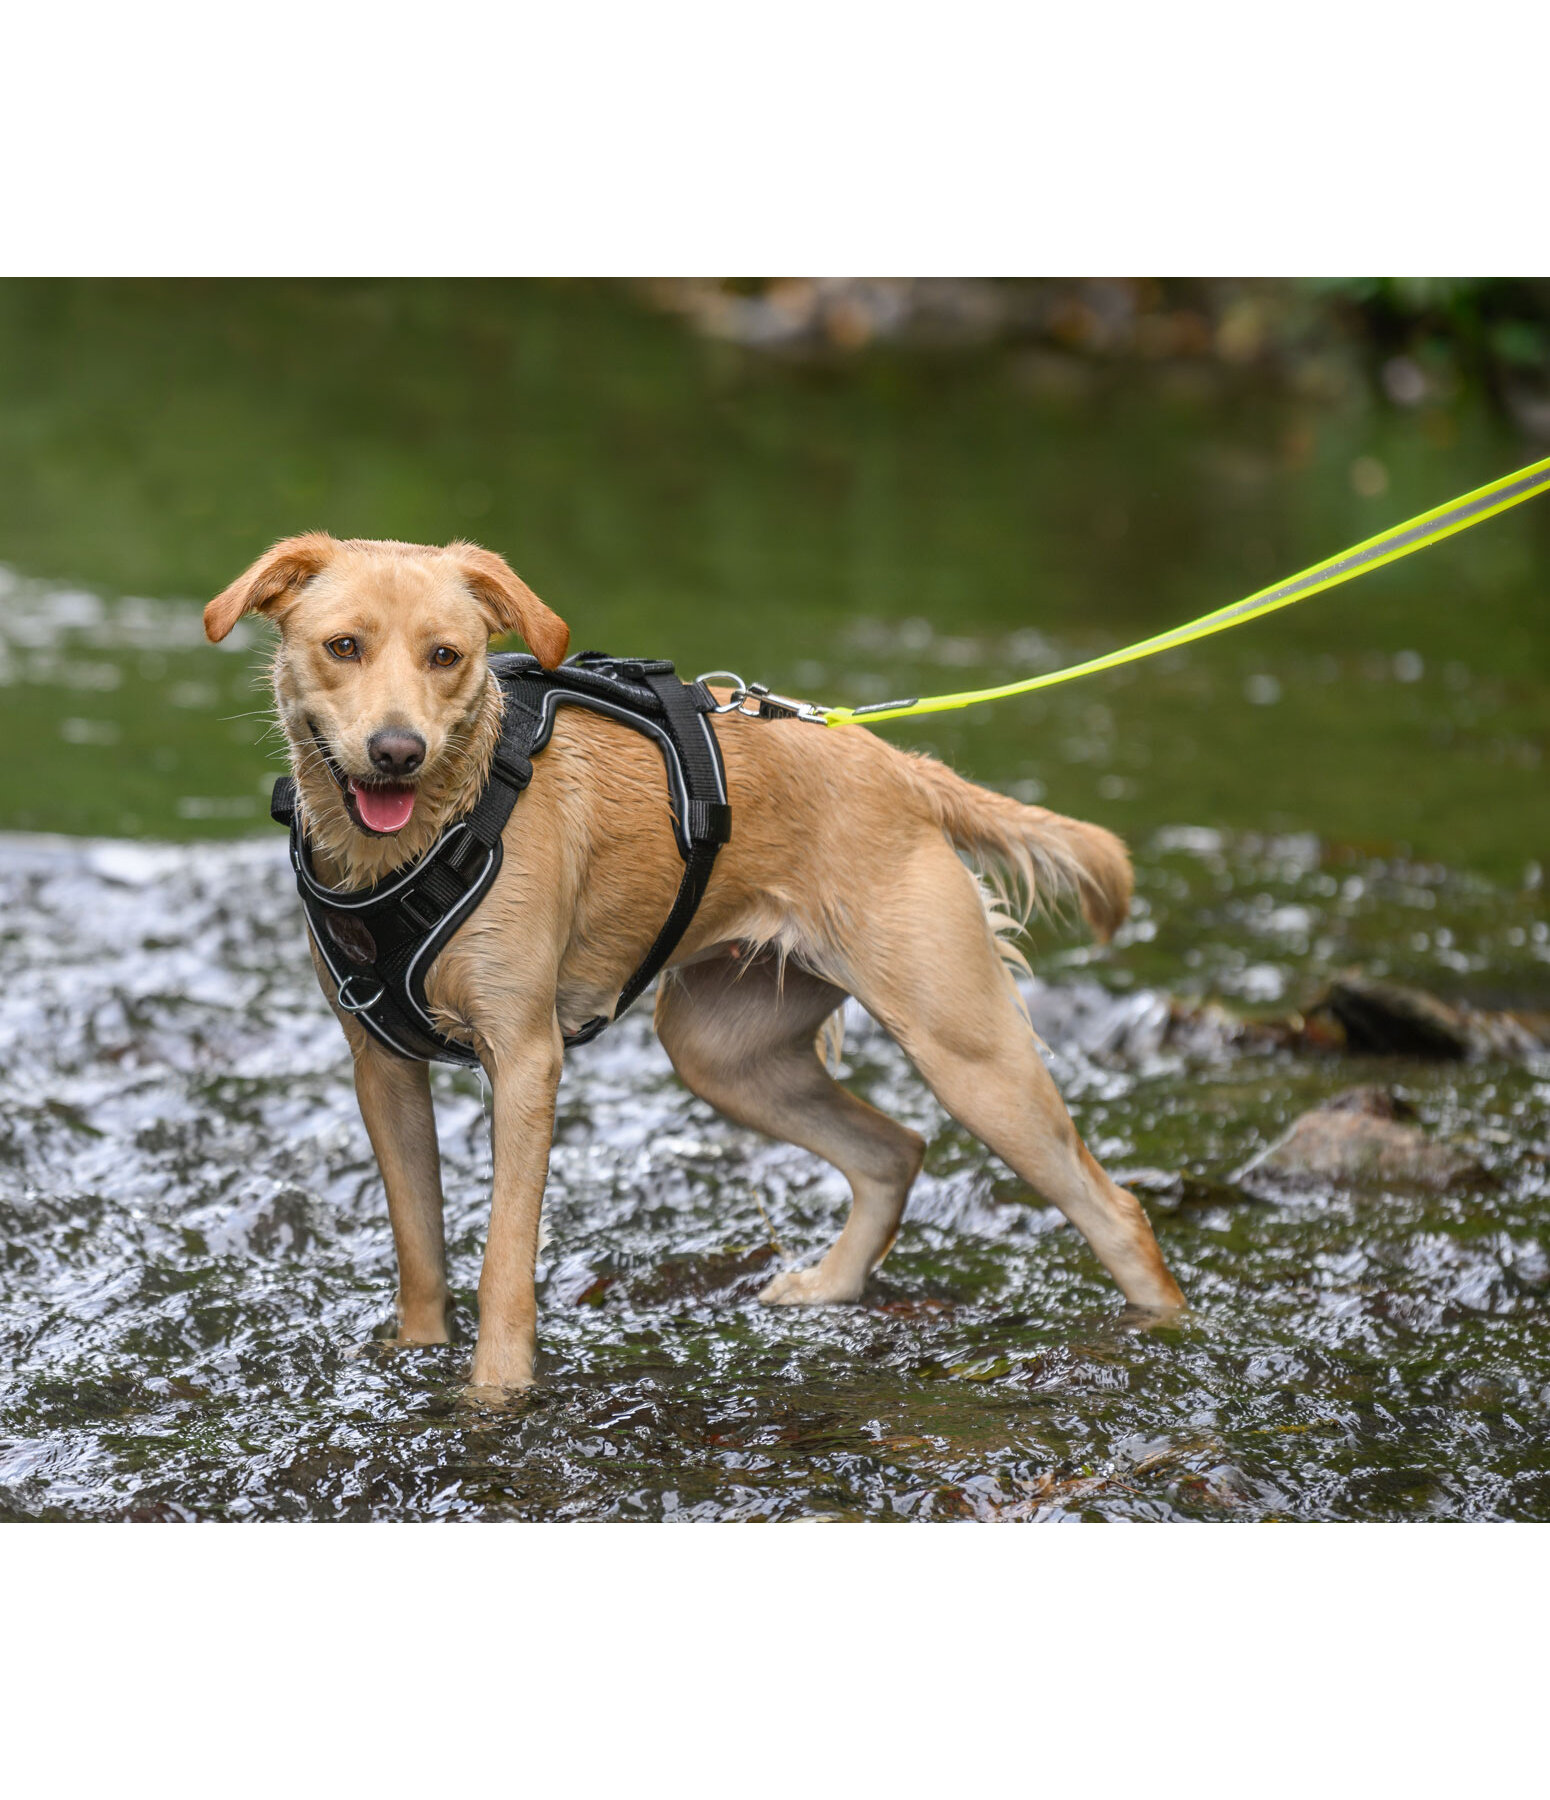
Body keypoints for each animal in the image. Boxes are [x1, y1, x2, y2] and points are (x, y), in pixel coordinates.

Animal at [202, 529, 1173, 1389]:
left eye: (446, 656)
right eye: (343, 646)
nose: (398, 752)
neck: (437, 832)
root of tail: (899, 767)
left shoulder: (524, 1061)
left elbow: (504, 1263)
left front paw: (496, 1393)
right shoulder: (382, 1067)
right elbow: (421, 1251)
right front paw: (418, 1356)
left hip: (969, 1054)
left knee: (1115, 1212)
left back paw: (1166, 1324)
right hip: (723, 1052)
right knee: (892, 1151)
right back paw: (832, 1286)